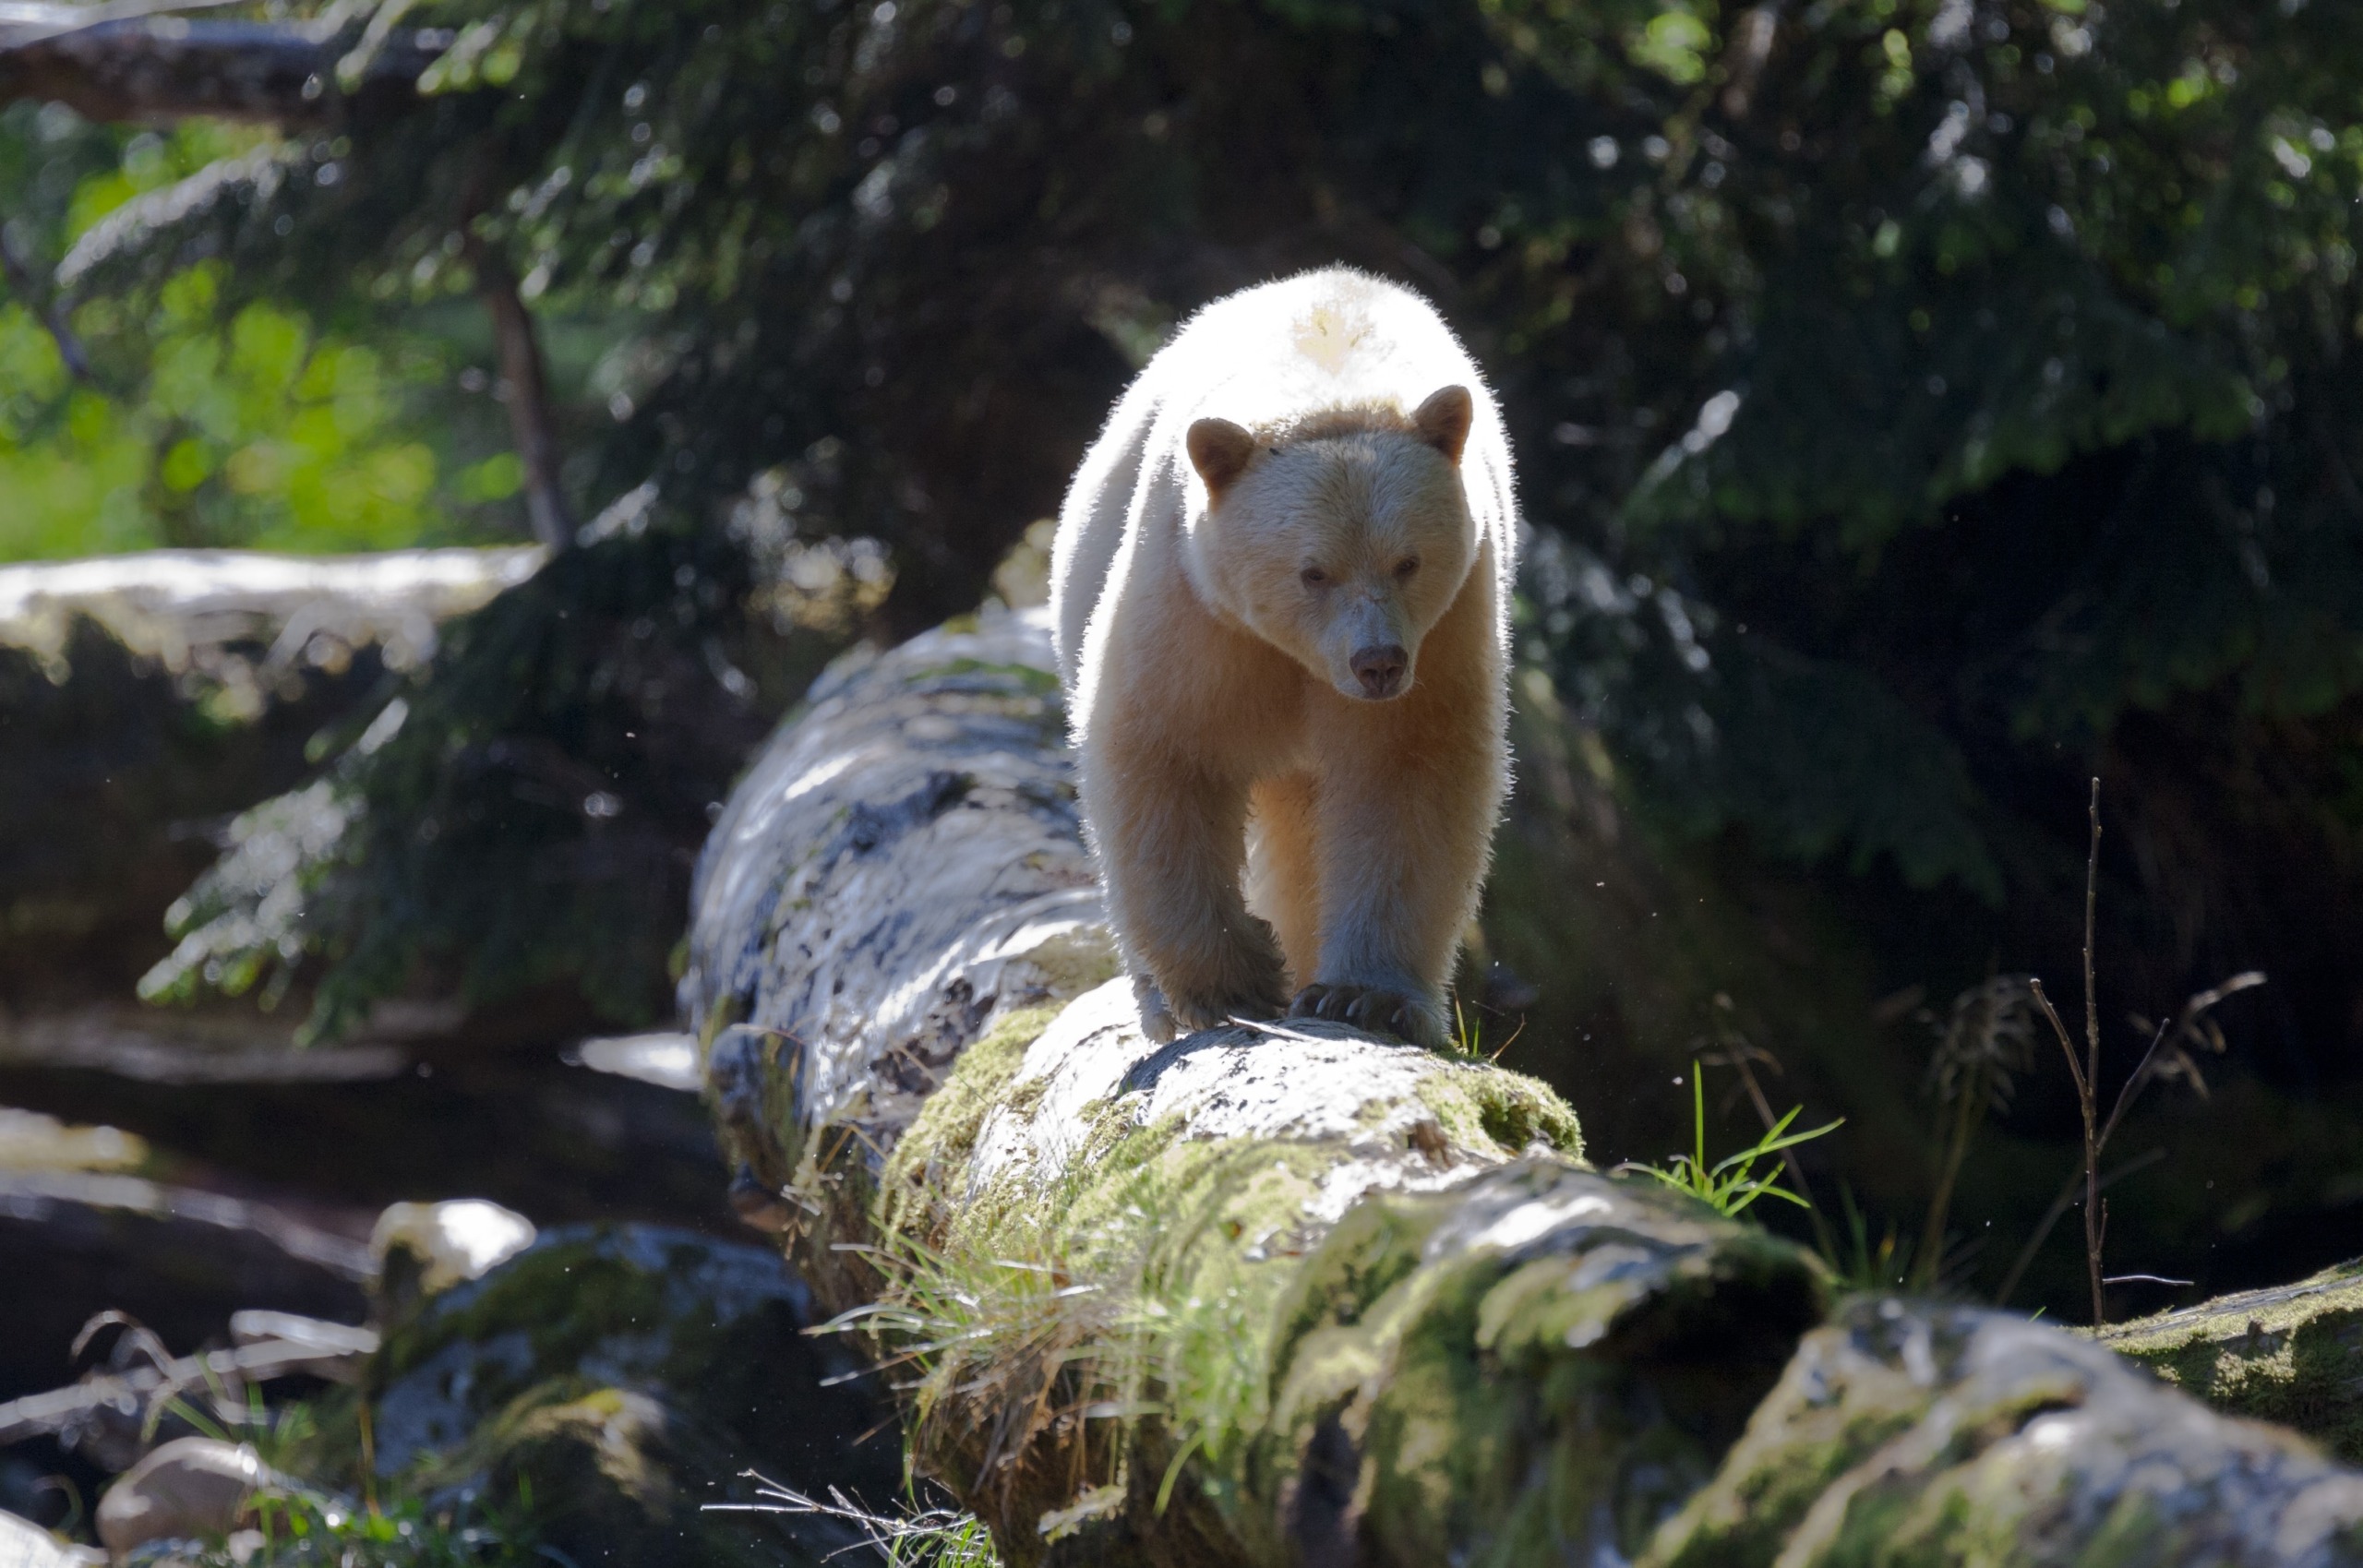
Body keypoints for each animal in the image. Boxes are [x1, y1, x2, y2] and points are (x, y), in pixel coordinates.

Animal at [1049, 269, 1512, 1053]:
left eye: (1409, 561)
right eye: (1312, 572)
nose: (1378, 664)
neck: (1328, 365)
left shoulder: (1449, 626)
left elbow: (1407, 772)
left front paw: (1364, 997)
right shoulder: (1195, 603)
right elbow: (1162, 752)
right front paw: (1229, 982)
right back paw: (1160, 1000)